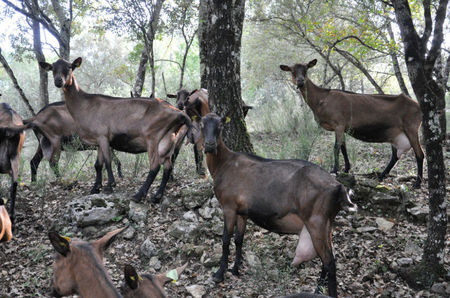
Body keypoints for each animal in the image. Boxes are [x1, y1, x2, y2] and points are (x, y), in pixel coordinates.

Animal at [39, 57, 192, 203]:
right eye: (52, 68)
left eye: (69, 67)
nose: (58, 81)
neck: (85, 104)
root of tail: (179, 113)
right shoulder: (98, 140)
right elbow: (98, 164)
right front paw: (95, 188)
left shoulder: (103, 136)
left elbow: (107, 161)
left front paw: (109, 185)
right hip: (168, 140)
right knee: (168, 166)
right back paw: (157, 196)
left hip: (153, 138)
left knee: (155, 166)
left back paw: (138, 195)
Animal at [195, 112, 356, 298]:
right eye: (201, 124)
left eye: (220, 125)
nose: (209, 145)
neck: (224, 164)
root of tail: (339, 187)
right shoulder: (242, 212)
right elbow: (239, 239)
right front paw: (235, 269)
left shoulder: (229, 207)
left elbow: (226, 239)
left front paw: (219, 274)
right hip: (327, 225)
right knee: (328, 258)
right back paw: (317, 290)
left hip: (317, 222)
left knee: (330, 262)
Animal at [280, 59, 424, 187]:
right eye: (292, 71)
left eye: (306, 69)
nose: (300, 81)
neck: (322, 99)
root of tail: (418, 106)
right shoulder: (343, 128)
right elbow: (343, 148)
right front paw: (346, 169)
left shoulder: (338, 124)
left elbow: (336, 147)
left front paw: (334, 170)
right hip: (395, 133)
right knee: (395, 156)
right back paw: (381, 175)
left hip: (412, 128)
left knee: (419, 154)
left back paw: (417, 183)